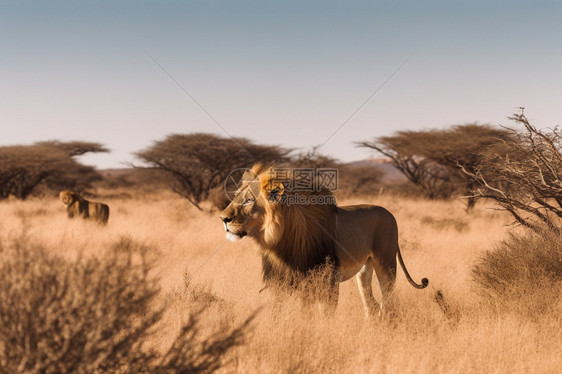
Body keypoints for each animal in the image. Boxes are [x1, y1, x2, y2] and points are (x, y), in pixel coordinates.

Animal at [219, 164, 424, 316]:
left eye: (248, 201)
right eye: (235, 196)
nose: (222, 218)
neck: (279, 244)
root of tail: (389, 213)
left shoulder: (327, 281)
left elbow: (322, 315)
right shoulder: (280, 283)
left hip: (386, 264)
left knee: (387, 303)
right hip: (365, 271)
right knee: (371, 305)